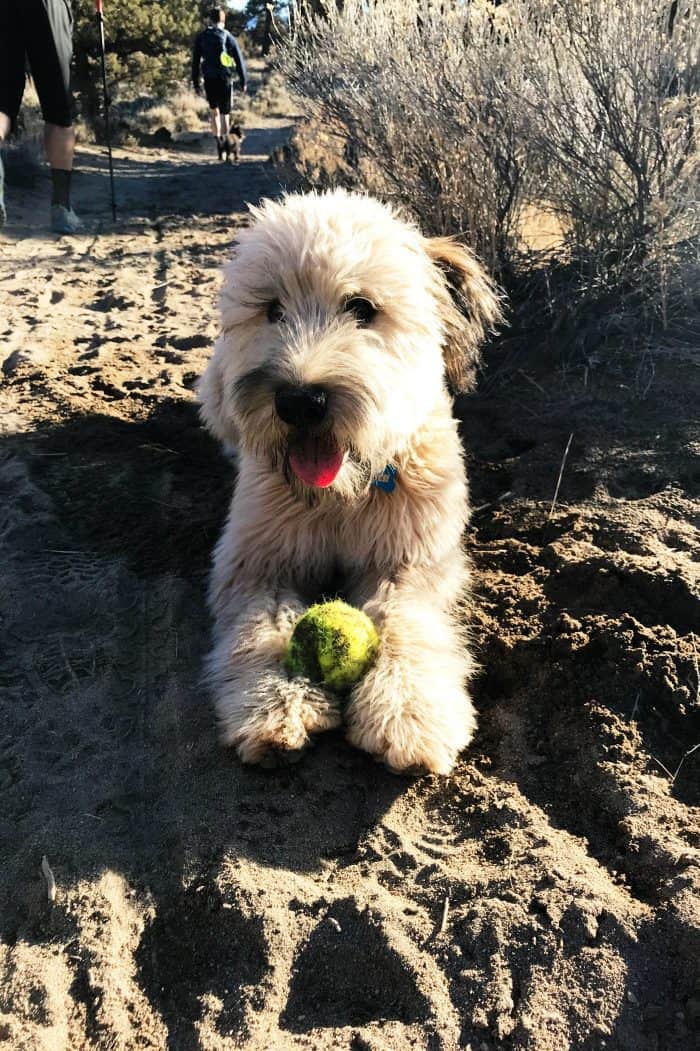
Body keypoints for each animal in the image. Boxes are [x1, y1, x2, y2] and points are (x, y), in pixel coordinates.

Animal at [198, 189, 498, 773]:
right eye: (272, 310)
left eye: (362, 307)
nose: (299, 401)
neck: (343, 495)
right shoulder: (258, 562)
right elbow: (261, 628)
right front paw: (277, 706)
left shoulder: (410, 560)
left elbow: (407, 623)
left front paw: (408, 711)